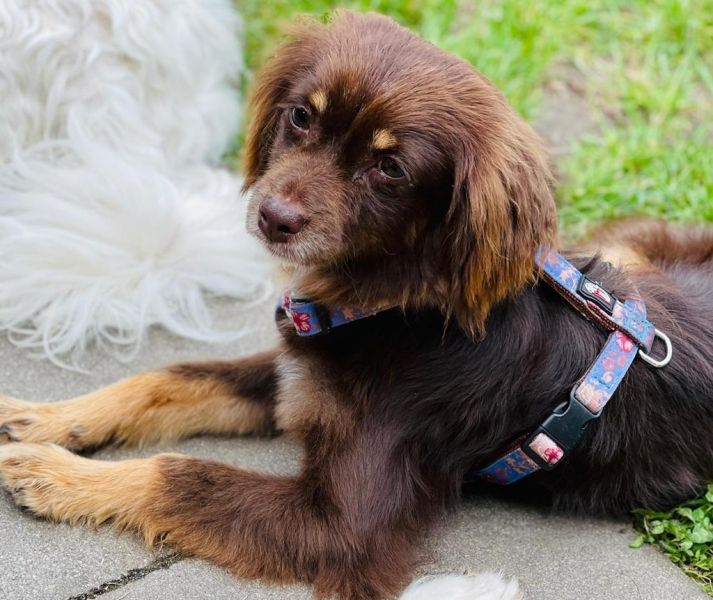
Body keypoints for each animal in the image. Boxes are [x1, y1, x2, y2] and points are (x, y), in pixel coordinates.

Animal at [2, 10, 713, 600]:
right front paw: (45, 419)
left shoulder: (340, 527)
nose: (272, 216)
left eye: (390, 168)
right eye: (300, 116)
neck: (392, 306)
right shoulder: (296, 370)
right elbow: (164, 379)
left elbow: (179, 474)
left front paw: (54, 475)